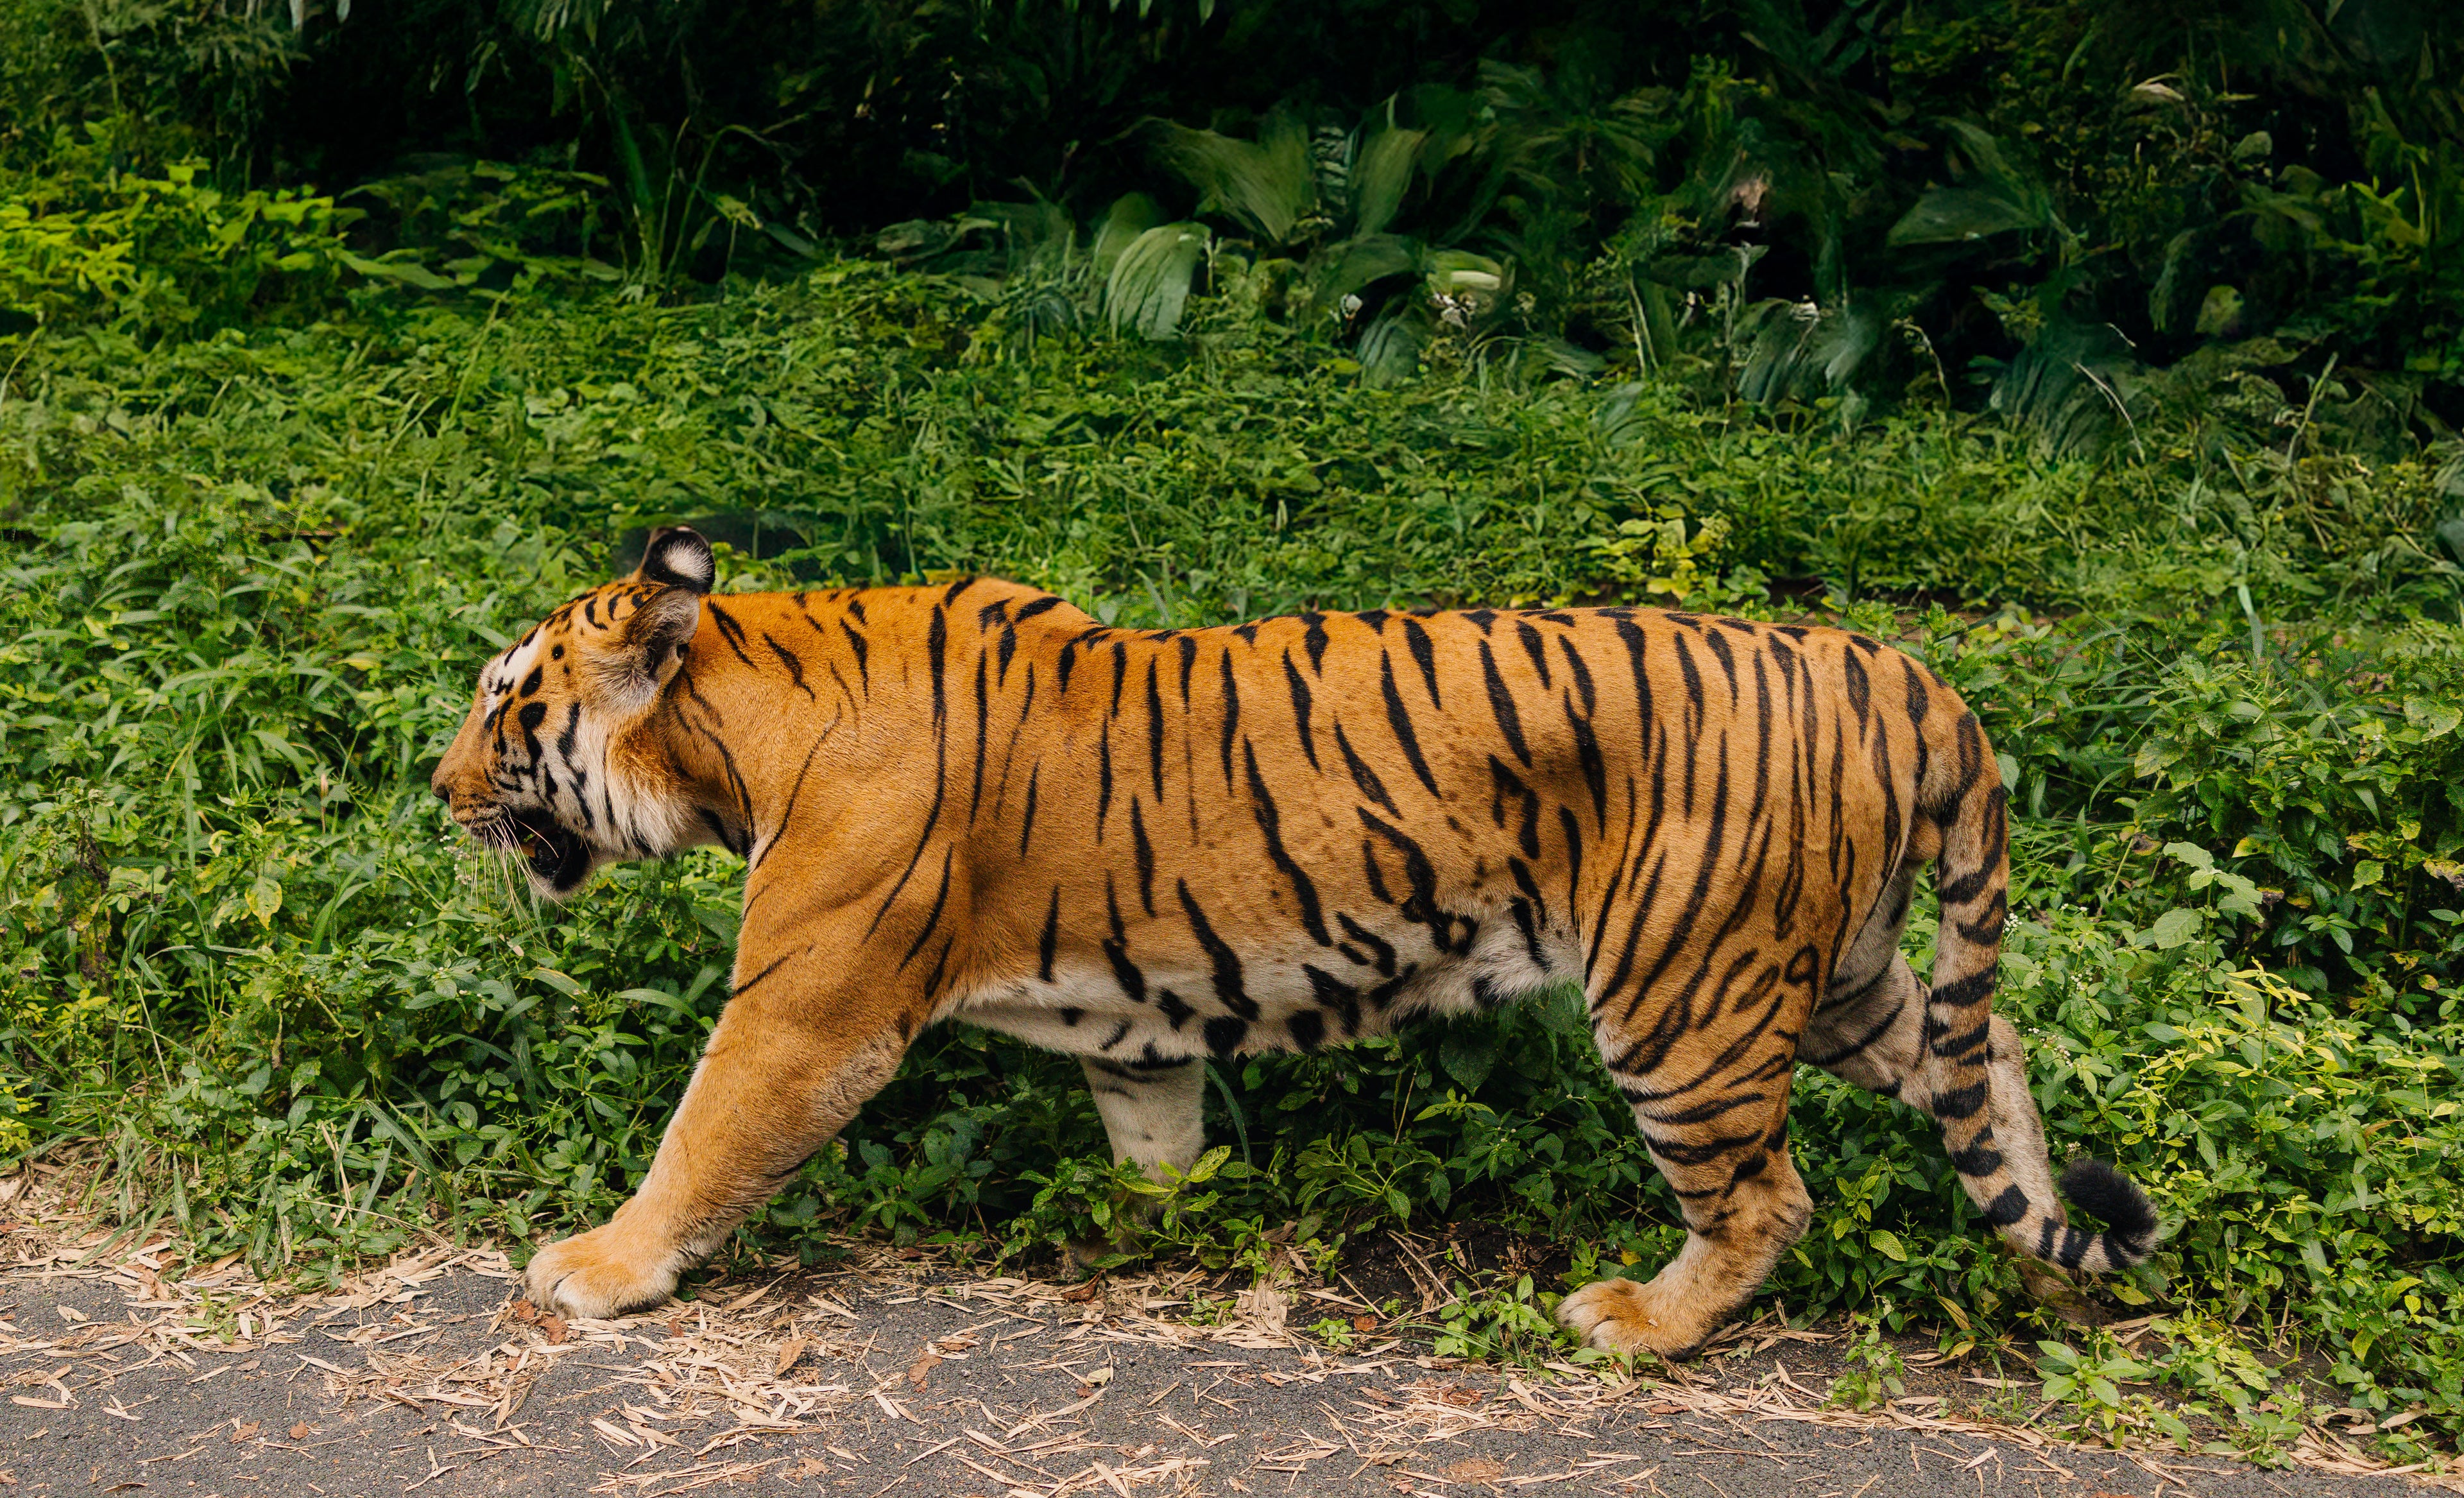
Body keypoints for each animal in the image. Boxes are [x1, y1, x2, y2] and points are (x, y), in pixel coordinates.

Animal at [429, 525, 2157, 1359]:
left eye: (506, 707)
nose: (434, 791)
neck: (743, 727)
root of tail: (1904, 674)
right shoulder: (1133, 1023)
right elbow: (1158, 1139)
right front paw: (1162, 1234)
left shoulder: (806, 1007)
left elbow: (704, 1135)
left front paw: (595, 1268)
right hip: (1845, 974)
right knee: (1991, 1057)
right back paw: (2060, 1265)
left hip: (1689, 995)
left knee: (1767, 1196)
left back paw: (1638, 1324)